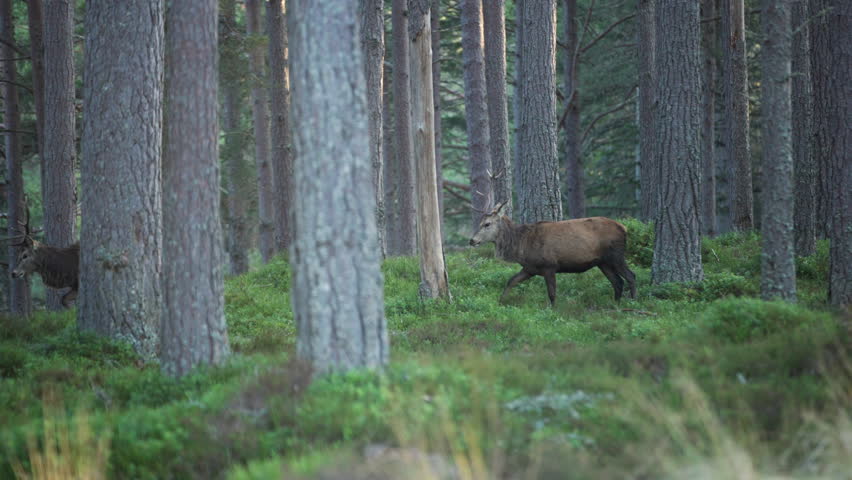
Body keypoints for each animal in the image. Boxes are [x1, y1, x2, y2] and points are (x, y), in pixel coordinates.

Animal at [469, 201, 637, 306]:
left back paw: (633, 302)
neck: (521, 246)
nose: (472, 240)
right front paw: (500, 301)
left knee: (630, 276)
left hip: (616, 255)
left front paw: (553, 311)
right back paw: (616, 304)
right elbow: (511, 281)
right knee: (617, 282)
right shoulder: (530, 268)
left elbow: (552, 293)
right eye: (480, 223)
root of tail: (624, 228)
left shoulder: (549, 266)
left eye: (487, 224)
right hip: (603, 262)